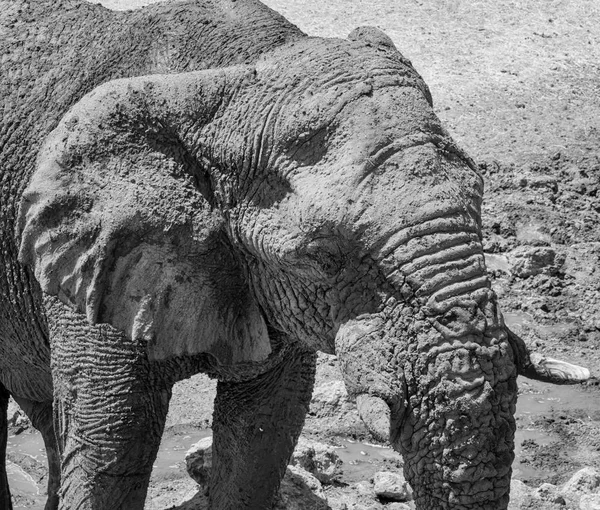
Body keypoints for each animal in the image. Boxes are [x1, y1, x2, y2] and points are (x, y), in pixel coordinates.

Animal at [0, 0, 592, 508]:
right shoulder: (100, 265)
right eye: (322, 256)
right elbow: (111, 449)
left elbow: (264, 432)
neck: (225, 77)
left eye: (479, 200)